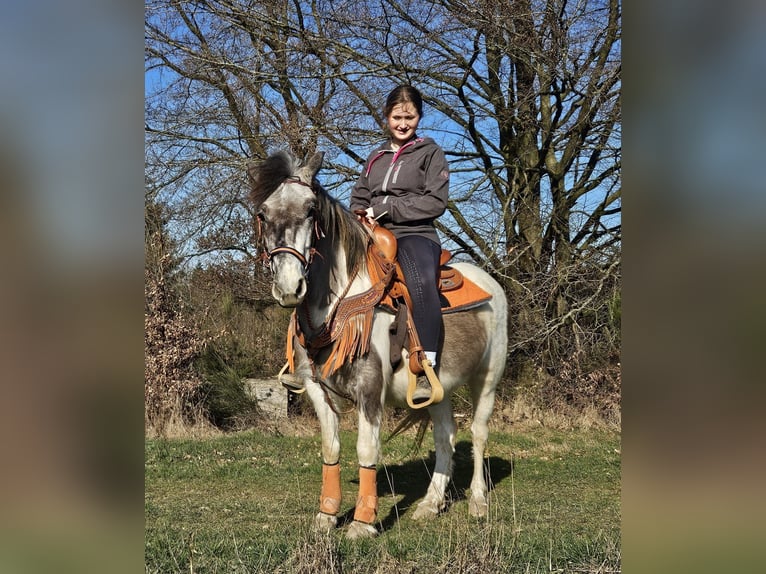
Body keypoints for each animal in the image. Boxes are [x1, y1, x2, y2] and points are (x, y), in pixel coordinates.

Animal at [247, 150, 508, 539]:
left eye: (310, 209)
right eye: (263, 213)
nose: (290, 288)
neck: (338, 304)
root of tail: (492, 283)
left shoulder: (369, 389)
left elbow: (367, 450)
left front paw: (363, 521)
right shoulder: (316, 389)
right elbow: (331, 447)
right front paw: (326, 515)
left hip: (487, 380)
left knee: (478, 433)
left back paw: (477, 502)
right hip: (438, 390)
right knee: (445, 436)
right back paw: (431, 504)